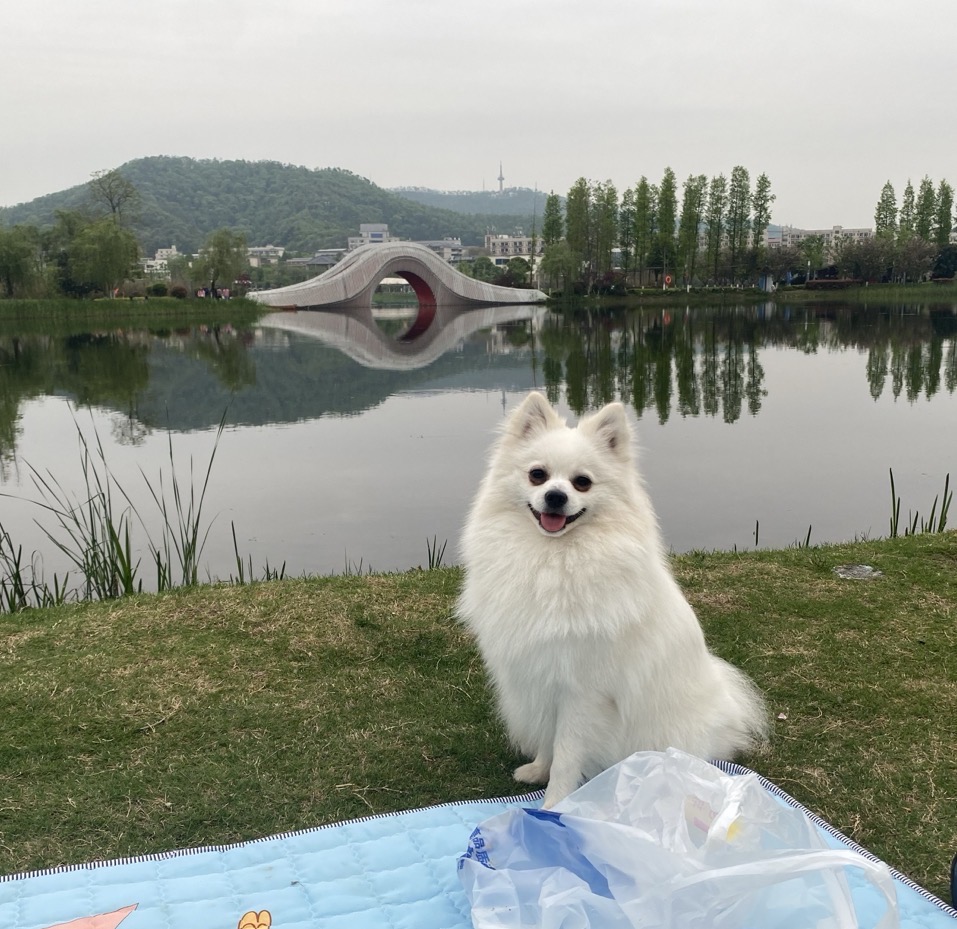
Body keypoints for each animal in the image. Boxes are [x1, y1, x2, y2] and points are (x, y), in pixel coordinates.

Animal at [458, 390, 768, 804]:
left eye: (582, 483)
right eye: (537, 475)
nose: (555, 496)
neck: (552, 557)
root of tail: (727, 710)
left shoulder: (580, 693)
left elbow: (566, 756)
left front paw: (554, 803)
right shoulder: (542, 679)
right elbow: (548, 741)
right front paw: (538, 770)